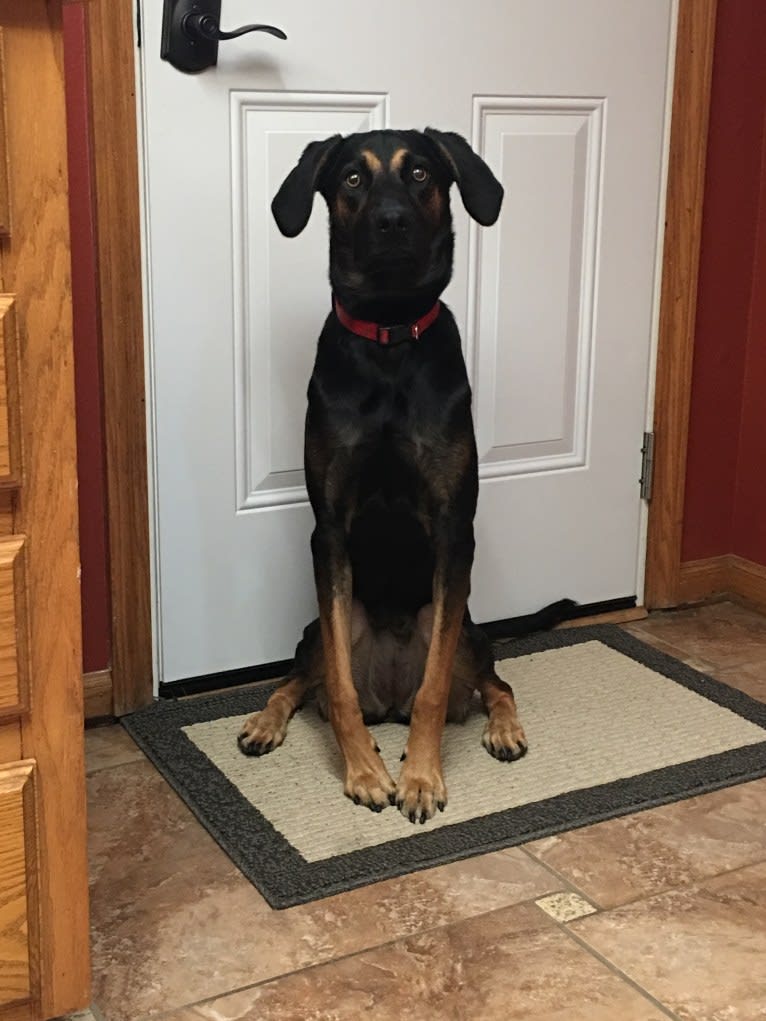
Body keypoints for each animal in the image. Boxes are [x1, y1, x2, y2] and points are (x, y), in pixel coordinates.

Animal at [240, 129, 576, 829]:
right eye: (351, 179)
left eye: (420, 172)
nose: (391, 221)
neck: (389, 339)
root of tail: (387, 700)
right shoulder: (329, 532)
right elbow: (339, 690)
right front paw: (366, 774)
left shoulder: (453, 530)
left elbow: (435, 691)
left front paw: (420, 778)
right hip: (321, 627)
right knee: (301, 679)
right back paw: (267, 722)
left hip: (466, 626)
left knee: (490, 682)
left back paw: (503, 729)